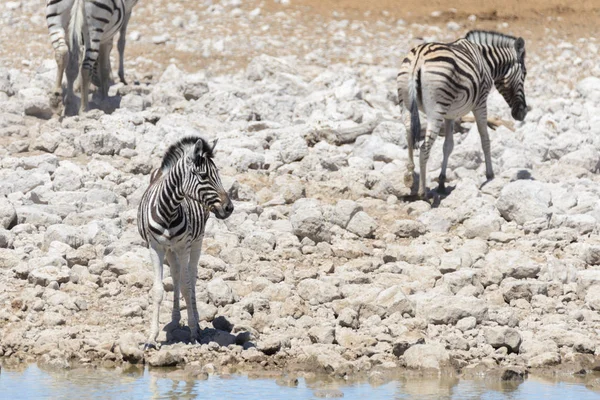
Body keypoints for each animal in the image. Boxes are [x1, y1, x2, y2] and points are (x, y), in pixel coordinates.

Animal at [138, 137, 234, 346]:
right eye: (203, 176)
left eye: (218, 174)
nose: (229, 208)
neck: (168, 210)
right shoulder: (155, 247)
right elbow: (159, 290)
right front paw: (151, 337)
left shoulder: (184, 246)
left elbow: (187, 284)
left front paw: (193, 331)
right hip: (170, 249)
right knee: (176, 274)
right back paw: (175, 319)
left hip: (197, 241)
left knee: (190, 275)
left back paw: (195, 320)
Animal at [396, 29, 528, 198]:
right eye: (524, 73)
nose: (522, 114)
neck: (486, 61)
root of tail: (419, 56)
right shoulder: (480, 103)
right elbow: (485, 139)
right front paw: (490, 176)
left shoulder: (450, 114)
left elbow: (448, 146)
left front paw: (441, 183)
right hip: (436, 109)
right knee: (425, 147)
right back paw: (422, 192)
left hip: (405, 104)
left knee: (409, 135)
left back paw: (409, 175)